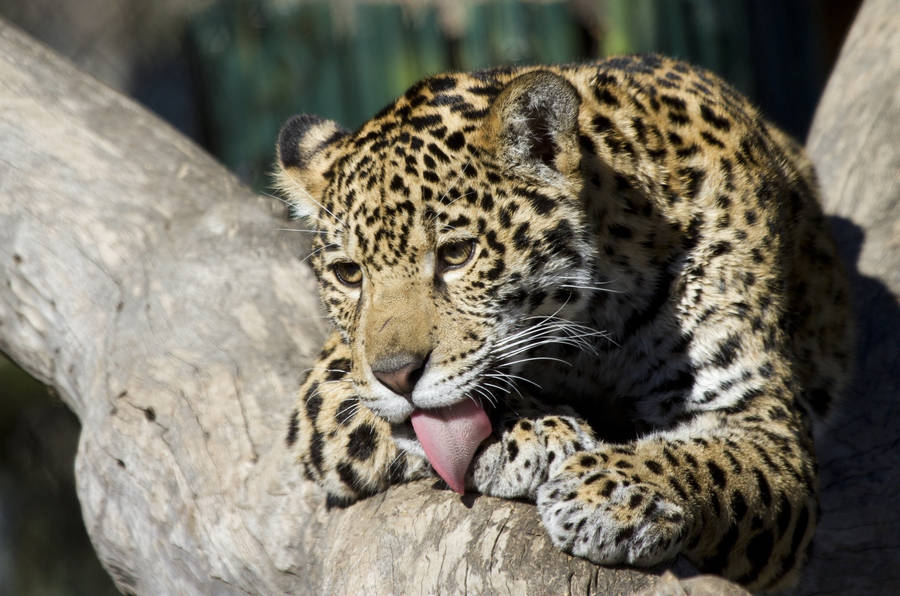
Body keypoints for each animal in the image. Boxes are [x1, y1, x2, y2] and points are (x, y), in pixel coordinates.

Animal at [274, 54, 852, 591]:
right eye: (349, 274)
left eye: (458, 254)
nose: (396, 376)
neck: (592, 335)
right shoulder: (329, 385)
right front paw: (531, 431)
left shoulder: (765, 423)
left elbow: (716, 462)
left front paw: (614, 490)